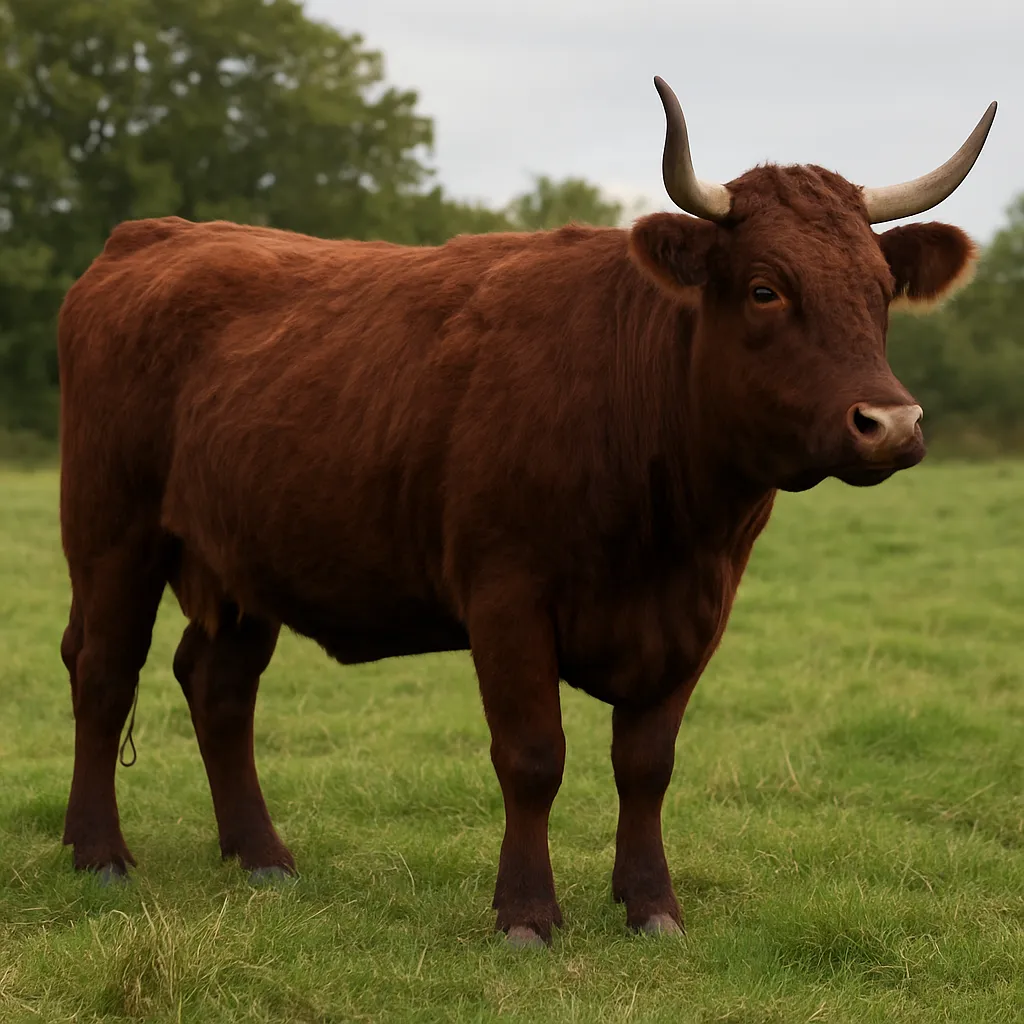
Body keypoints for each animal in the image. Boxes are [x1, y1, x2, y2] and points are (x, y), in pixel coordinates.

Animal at [56, 77, 995, 948]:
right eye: (766, 289)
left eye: (880, 289)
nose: (891, 424)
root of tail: (157, 234)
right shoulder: (506, 594)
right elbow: (534, 757)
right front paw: (526, 914)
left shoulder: (699, 614)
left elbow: (647, 764)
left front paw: (651, 906)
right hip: (111, 532)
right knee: (103, 671)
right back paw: (98, 854)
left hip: (242, 559)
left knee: (218, 686)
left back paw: (261, 858)